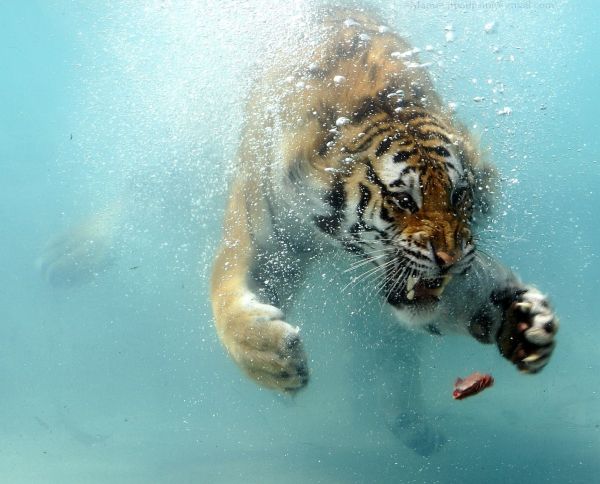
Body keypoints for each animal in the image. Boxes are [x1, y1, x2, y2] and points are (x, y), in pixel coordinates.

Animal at [211, 7, 556, 454]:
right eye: (405, 200)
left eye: (459, 194)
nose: (450, 259)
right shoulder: (266, 239)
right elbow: (225, 298)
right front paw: (275, 358)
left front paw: (526, 322)